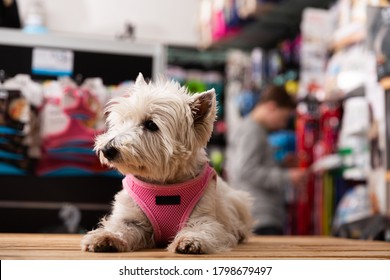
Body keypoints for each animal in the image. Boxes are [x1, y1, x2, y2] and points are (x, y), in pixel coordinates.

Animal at [81, 74, 253, 254]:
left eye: (151, 124)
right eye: (123, 121)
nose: (107, 149)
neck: (164, 183)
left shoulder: (205, 215)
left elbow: (203, 227)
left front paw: (190, 241)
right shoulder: (132, 218)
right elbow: (120, 227)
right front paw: (104, 238)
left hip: (238, 201)